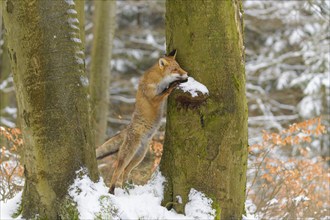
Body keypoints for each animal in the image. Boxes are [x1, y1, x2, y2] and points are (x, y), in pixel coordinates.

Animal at [95, 50, 188, 194]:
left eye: (179, 66)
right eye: (175, 69)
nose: (186, 74)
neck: (158, 81)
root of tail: (127, 128)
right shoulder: (154, 98)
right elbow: (163, 93)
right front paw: (171, 86)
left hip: (139, 156)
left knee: (126, 172)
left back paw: (127, 188)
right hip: (128, 155)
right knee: (117, 172)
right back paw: (111, 191)